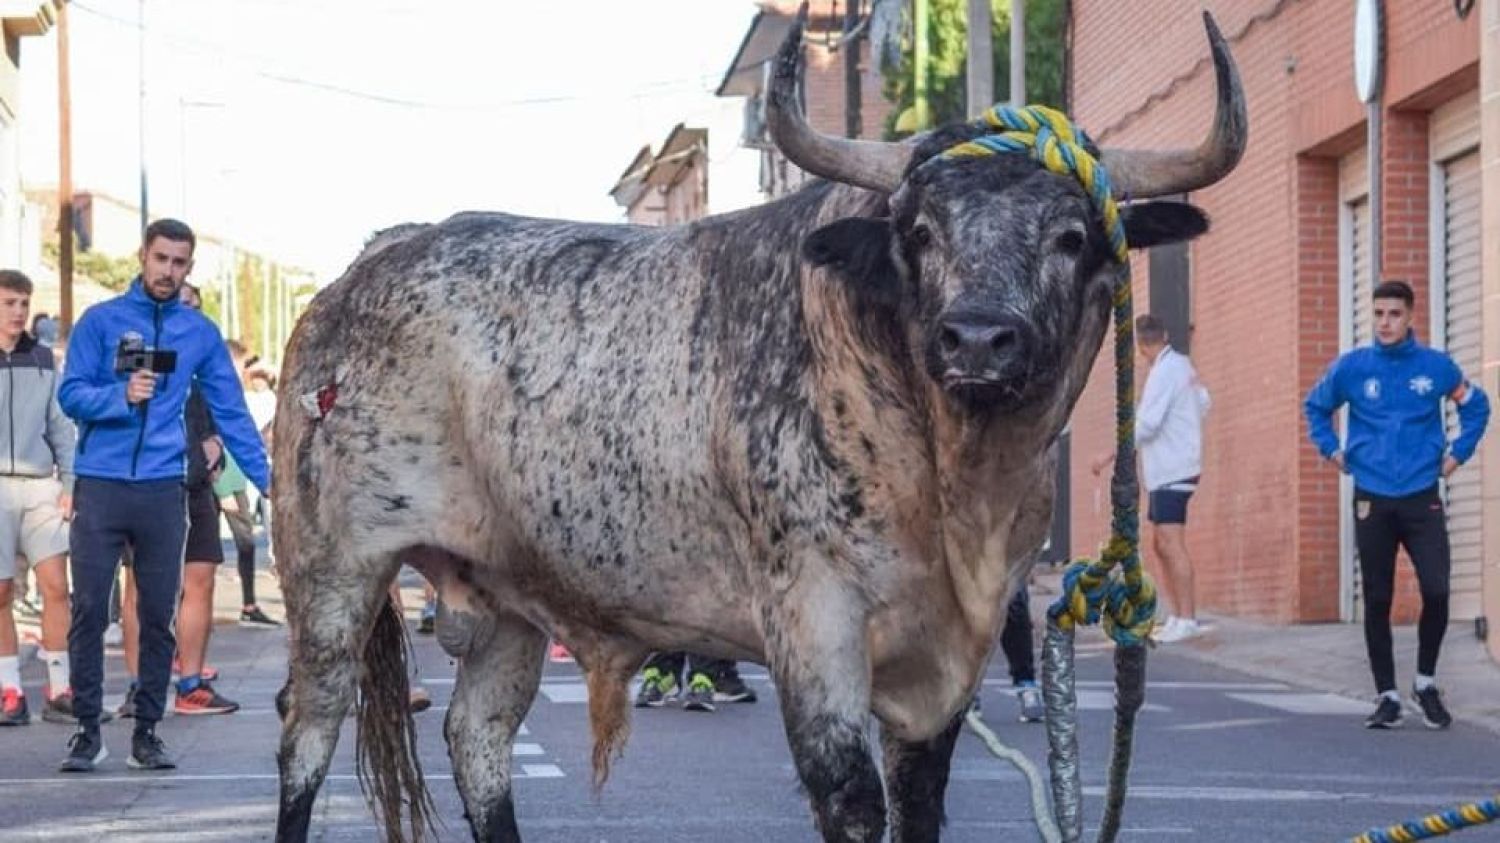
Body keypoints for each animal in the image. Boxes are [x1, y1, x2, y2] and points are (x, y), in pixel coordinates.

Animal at [270, 9, 1242, 834]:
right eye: (920, 231)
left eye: (1072, 235)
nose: (977, 338)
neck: (952, 487)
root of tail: (367, 266)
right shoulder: (813, 623)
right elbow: (852, 800)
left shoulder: (952, 660)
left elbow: (919, 804)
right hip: (331, 568)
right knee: (307, 733)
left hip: (509, 585)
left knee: (477, 738)